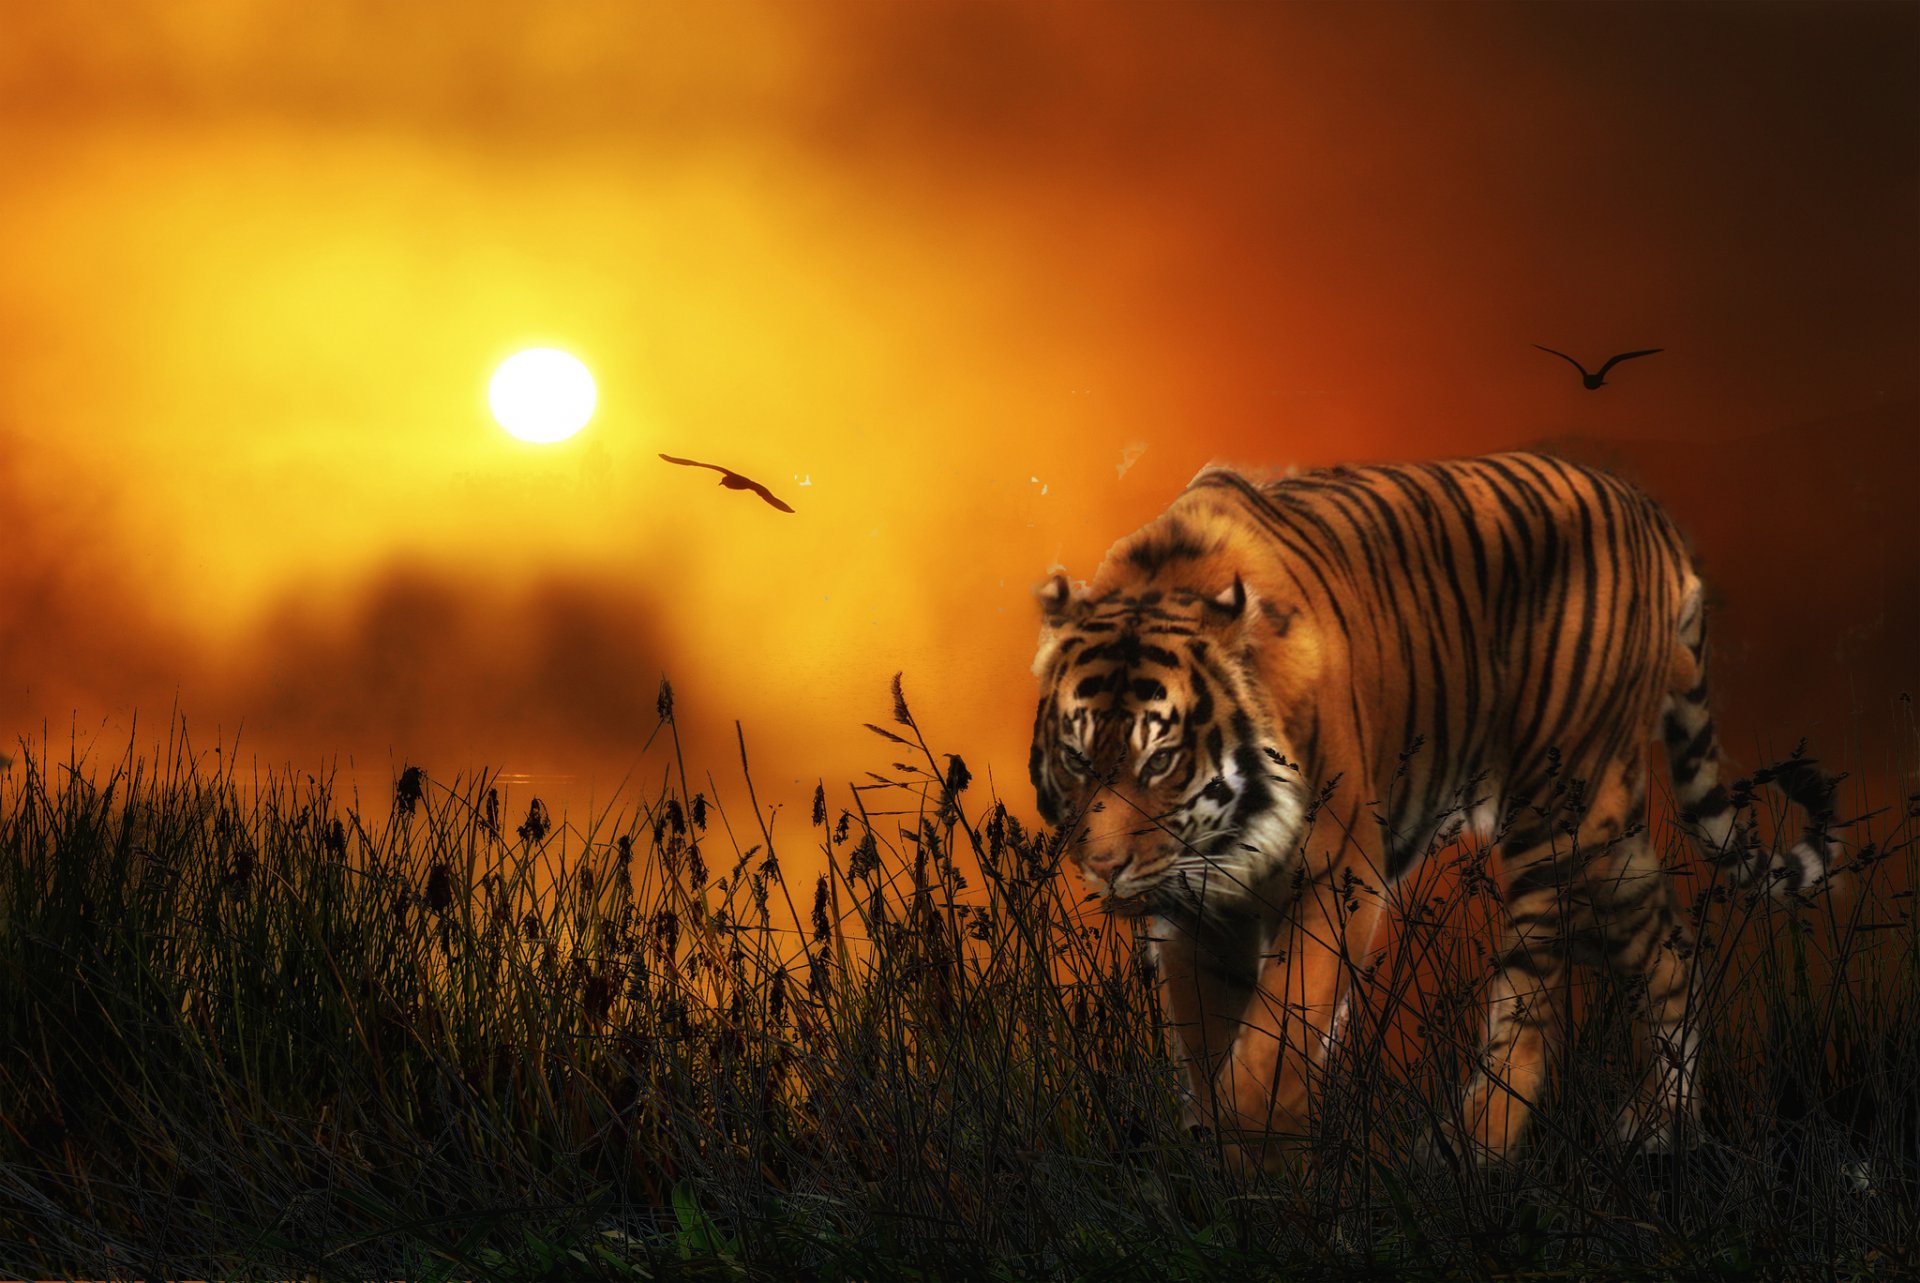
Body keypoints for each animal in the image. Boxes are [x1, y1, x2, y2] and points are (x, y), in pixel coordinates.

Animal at [1028, 452, 1842, 1166]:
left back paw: (1472, 1146)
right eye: (1077, 756)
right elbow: (1207, 1043)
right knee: (1672, 946)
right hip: (1607, 829)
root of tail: (1650, 515)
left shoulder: (1337, 875)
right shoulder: (1198, 908)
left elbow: (1268, 1047)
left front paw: (1264, 1159)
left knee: (1532, 998)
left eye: (1159, 760)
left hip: (1553, 813)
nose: (1103, 867)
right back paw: (1659, 1128)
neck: (1223, 840)